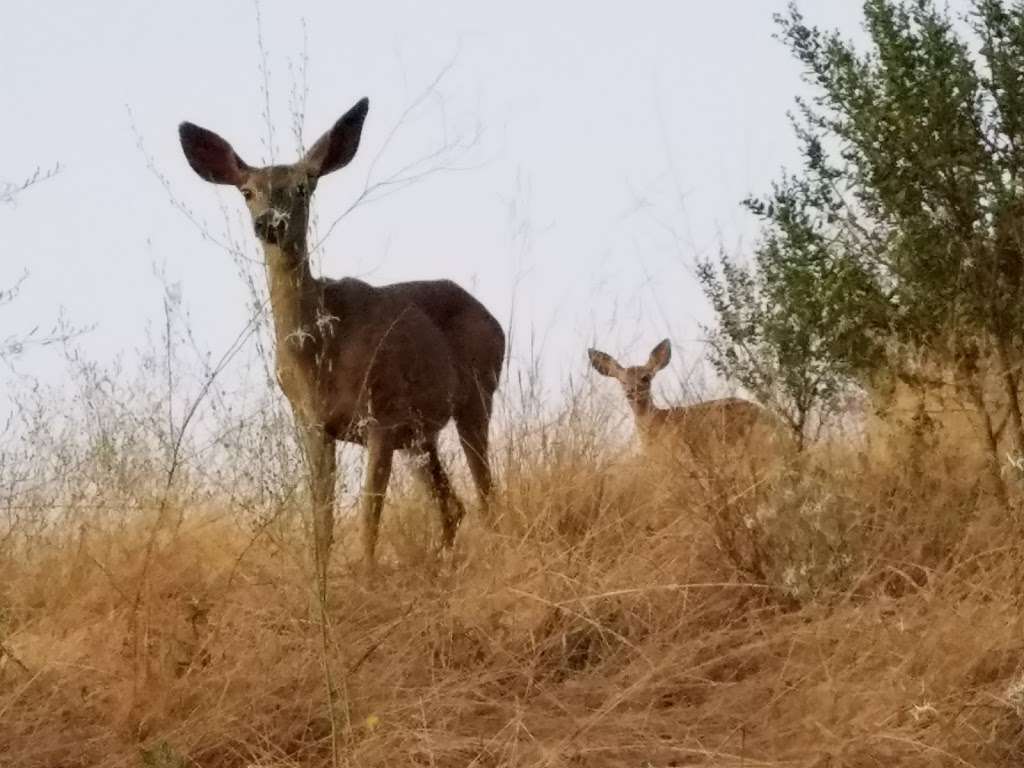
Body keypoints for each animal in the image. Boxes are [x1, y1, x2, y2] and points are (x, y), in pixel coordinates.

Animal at [183, 99, 507, 585]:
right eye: (247, 191)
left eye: (302, 187)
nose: (269, 224)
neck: (317, 352)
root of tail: (493, 318)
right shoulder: (314, 424)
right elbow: (323, 516)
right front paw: (320, 581)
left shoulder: (381, 415)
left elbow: (369, 513)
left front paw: (366, 576)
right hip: (420, 435)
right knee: (452, 505)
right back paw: (443, 563)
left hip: (474, 396)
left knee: (487, 493)